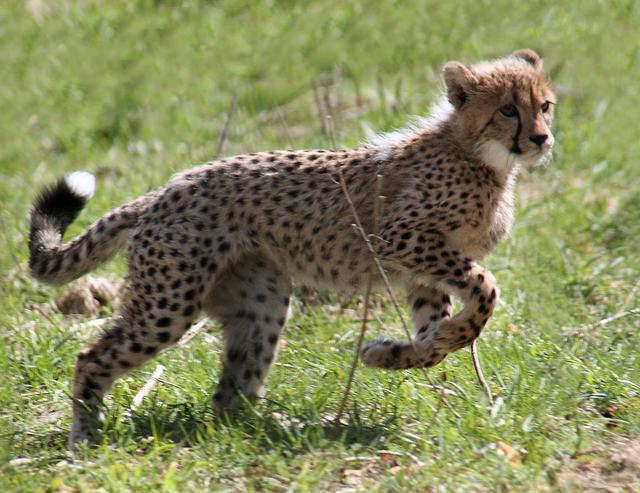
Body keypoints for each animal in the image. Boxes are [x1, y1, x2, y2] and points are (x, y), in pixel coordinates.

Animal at [27, 49, 556, 448]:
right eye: (508, 110)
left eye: (545, 105)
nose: (541, 138)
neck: (480, 157)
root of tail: (162, 192)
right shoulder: (401, 239)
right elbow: (486, 290)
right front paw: (432, 339)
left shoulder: (421, 272)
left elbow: (435, 340)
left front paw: (393, 353)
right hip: (168, 303)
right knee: (92, 357)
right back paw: (84, 437)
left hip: (261, 303)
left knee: (230, 394)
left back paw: (273, 427)